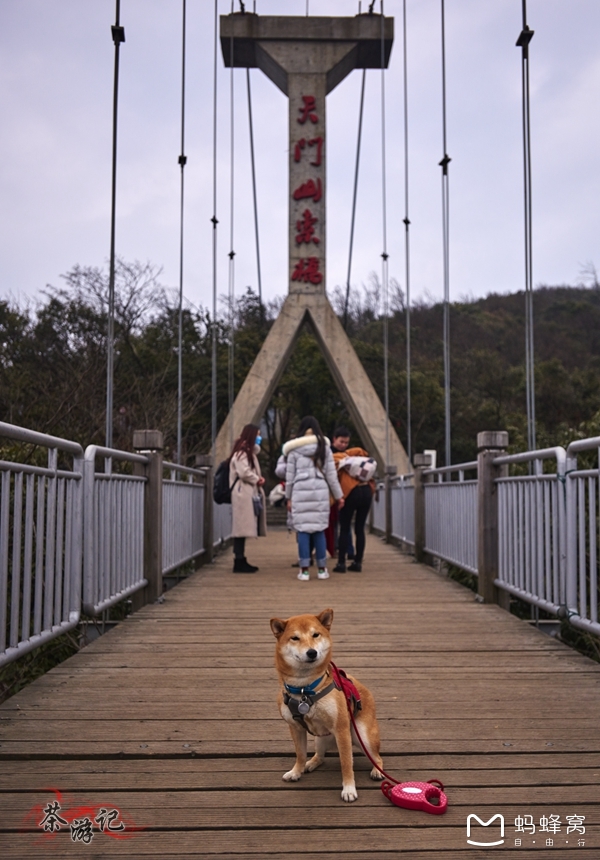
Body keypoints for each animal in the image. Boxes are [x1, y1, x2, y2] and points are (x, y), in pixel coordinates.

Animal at [268, 612, 382, 800]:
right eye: (295, 638)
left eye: (316, 635)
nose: (311, 652)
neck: (304, 689)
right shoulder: (295, 727)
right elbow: (300, 754)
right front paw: (296, 771)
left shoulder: (342, 729)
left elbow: (346, 763)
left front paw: (349, 789)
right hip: (320, 739)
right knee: (320, 756)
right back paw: (310, 763)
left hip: (362, 736)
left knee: (377, 757)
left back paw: (377, 771)